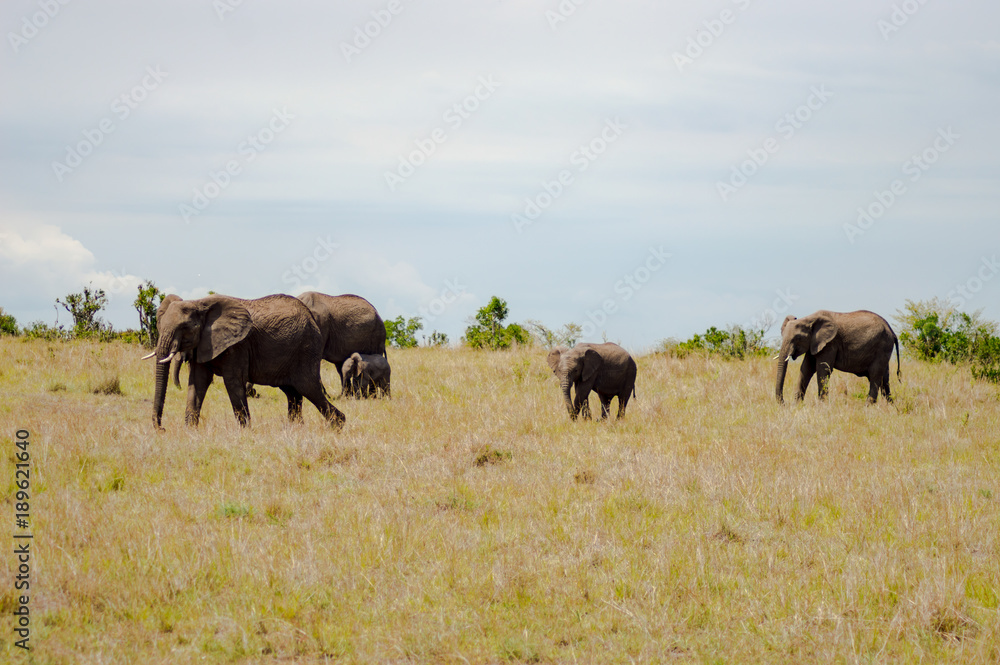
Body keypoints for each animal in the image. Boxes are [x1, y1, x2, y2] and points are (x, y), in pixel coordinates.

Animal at [144, 293, 345, 430]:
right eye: (160, 325)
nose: (161, 428)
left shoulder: (237, 345)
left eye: (185, 328)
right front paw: (190, 431)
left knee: (308, 387)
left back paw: (338, 425)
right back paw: (295, 428)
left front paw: (245, 432)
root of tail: (311, 317)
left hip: (306, 347)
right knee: (293, 392)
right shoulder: (203, 344)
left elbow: (232, 382)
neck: (199, 303)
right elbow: (197, 382)